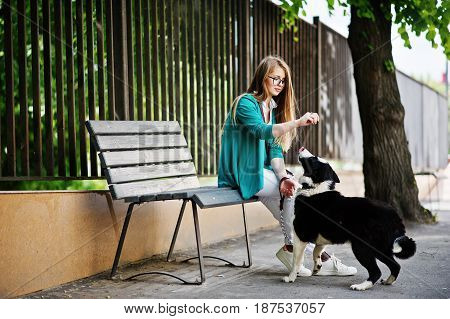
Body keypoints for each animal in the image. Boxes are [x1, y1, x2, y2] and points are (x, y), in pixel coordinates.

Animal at [284, 149, 416, 292]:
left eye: (313, 159)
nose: (301, 148)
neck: (315, 188)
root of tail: (394, 216)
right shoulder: (322, 237)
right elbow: (316, 251)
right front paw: (317, 266)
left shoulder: (300, 236)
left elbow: (296, 260)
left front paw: (290, 277)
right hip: (381, 247)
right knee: (395, 265)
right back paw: (388, 281)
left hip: (362, 247)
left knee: (376, 271)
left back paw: (361, 286)